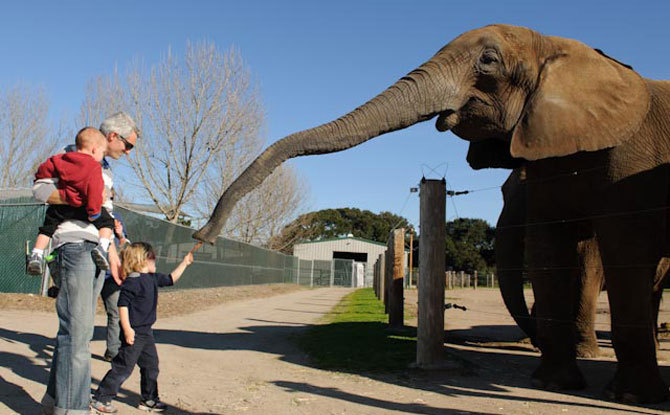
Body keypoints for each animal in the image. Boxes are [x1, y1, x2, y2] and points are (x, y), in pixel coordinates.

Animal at [197, 25, 670, 404]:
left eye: (488, 61)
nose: (202, 236)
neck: (565, 50)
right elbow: (548, 249)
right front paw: (552, 385)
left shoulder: (628, 162)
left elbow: (620, 246)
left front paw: (628, 397)